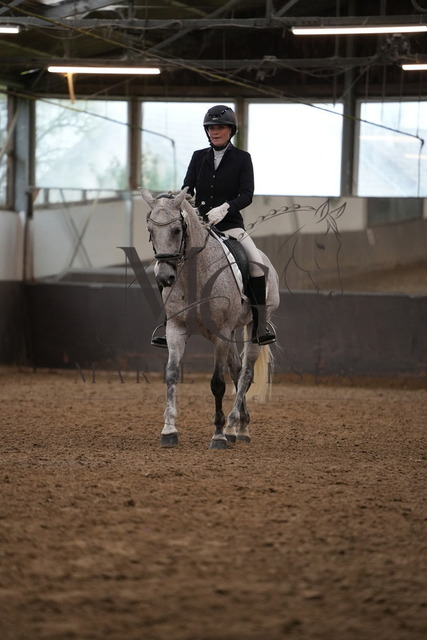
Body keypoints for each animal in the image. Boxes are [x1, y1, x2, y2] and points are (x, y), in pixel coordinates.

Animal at [140, 187, 280, 449]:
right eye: (150, 231)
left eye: (177, 230)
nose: (164, 277)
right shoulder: (176, 330)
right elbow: (171, 374)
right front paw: (169, 430)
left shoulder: (221, 335)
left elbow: (217, 383)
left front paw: (218, 436)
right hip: (233, 331)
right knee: (236, 370)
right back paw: (239, 428)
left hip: (252, 328)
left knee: (245, 374)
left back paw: (233, 426)